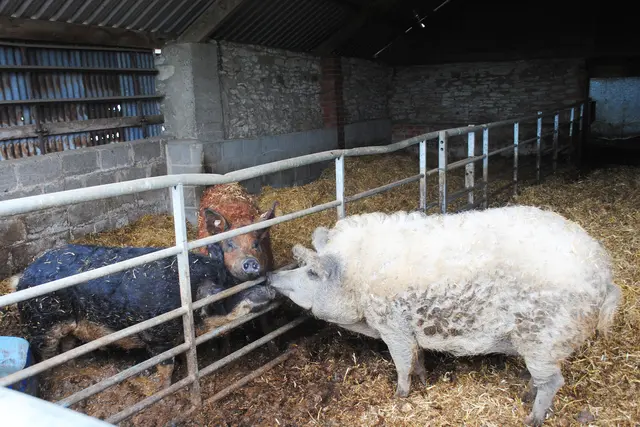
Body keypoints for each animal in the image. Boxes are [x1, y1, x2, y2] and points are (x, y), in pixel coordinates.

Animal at [13, 242, 277, 389]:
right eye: (224, 292)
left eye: (233, 280)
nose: (270, 289)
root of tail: (23, 276)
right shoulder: (157, 336)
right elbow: (165, 365)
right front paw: (163, 387)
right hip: (42, 325)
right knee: (45, 354)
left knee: (67, 346)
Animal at [266, 206, 622, 426]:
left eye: (312, 273)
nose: (270, 276)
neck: (357, 281)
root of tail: (603, 273)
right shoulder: (408, 328)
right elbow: (417, 357)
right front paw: (424, 380)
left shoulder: (392, 325)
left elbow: (401, 362)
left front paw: (400, 395)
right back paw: (525, 395)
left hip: (545, 338)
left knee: (553, 381)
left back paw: (530, 418)